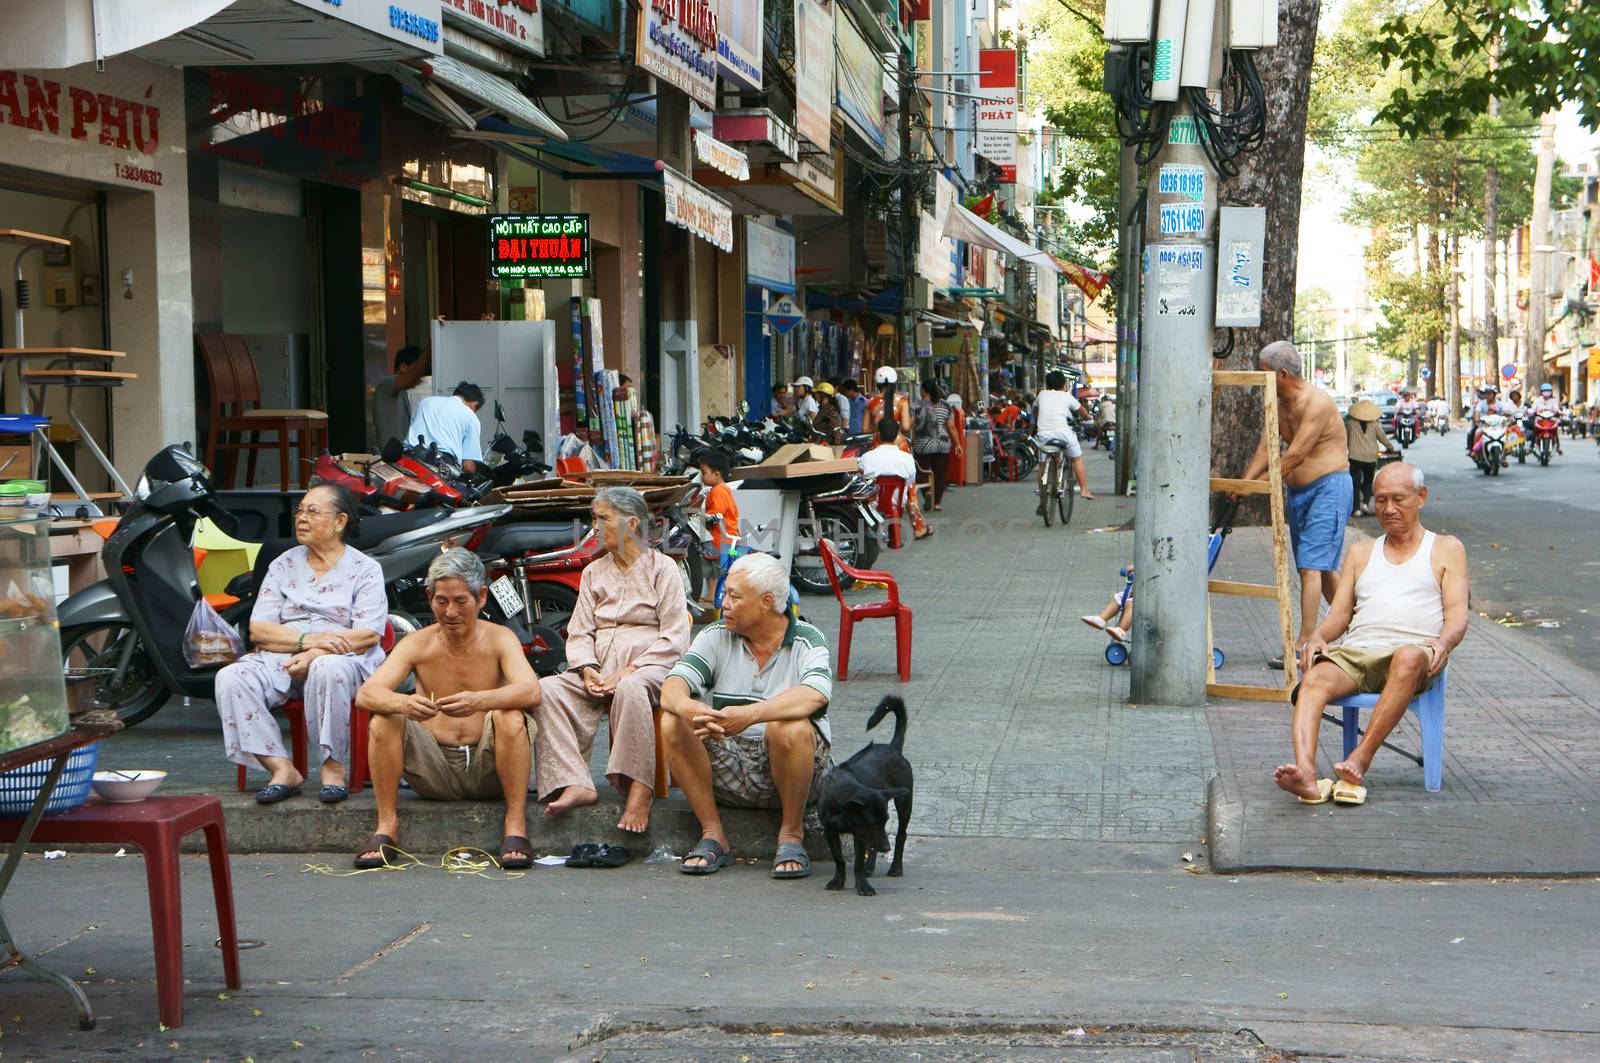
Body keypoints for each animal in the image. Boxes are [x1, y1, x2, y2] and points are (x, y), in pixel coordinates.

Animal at [825, 694, 915, 890]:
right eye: (871, 822)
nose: (886, 848)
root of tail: (893, 747)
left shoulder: (860, 834)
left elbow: (857, 862)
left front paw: (863, 886)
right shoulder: (831, 832)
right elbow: (839, 860)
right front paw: (838, 881)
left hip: (905, 802)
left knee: (901, 835)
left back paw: (896, 867)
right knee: (874, 845)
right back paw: (870, 866)